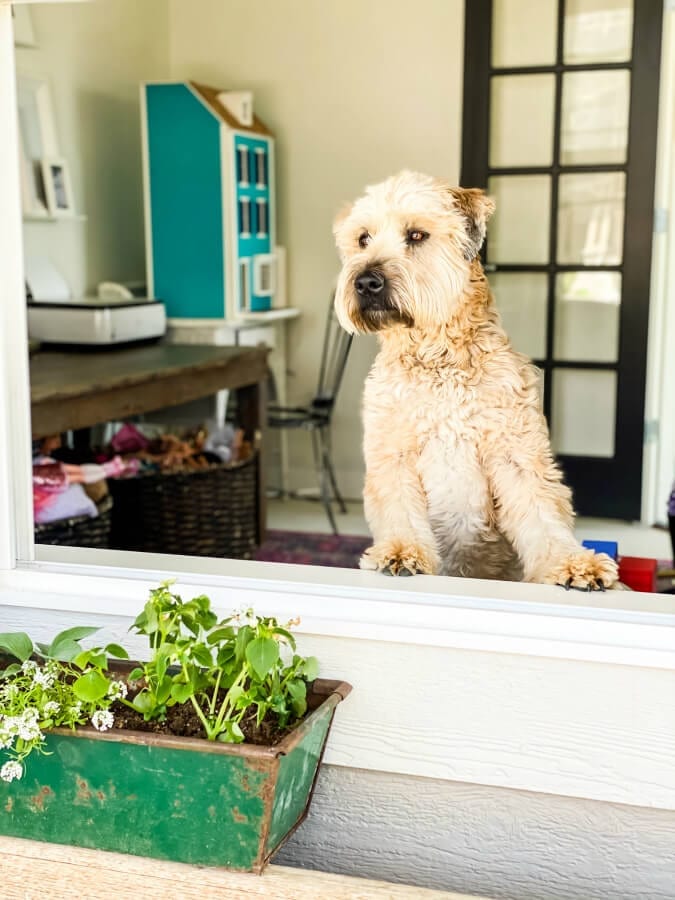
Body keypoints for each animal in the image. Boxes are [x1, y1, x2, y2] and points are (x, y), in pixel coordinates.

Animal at [336, 172, 620, 592]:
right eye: (363, 238)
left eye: (417, 235)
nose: (366, 282)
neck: (437, 360)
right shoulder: (394, 456)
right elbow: (400, 512)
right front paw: (401, 552)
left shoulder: (517, 454)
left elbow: (543, 515)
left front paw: (571, 564)